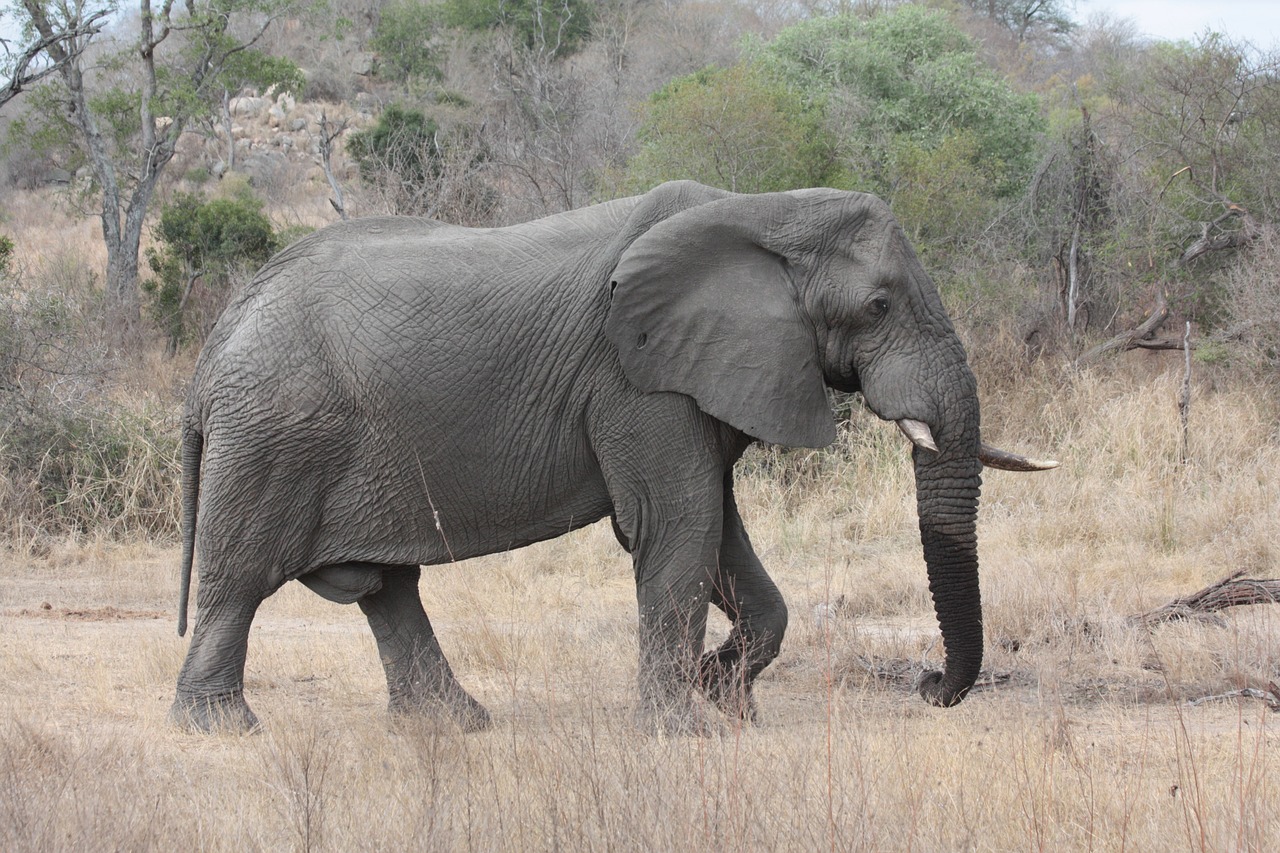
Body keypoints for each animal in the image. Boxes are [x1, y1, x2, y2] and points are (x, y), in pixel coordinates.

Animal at [167, 178, 1049, 732]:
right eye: (878, 306)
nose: (928, 683)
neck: (767, 212)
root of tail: (212, 351)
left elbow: (720, 534)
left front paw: (727, 701)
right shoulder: (635, 377)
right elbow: (675, 525)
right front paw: (683, 729)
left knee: (388, 589)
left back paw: (456, 726)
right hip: (273, 433)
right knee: (241, 577)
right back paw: (221, 726)